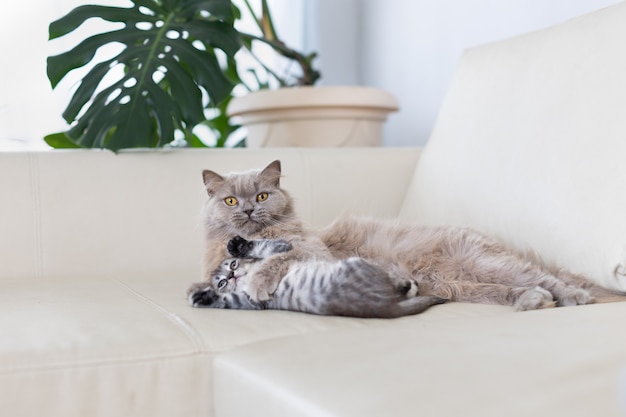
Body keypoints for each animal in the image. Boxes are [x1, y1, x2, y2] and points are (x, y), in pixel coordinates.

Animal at [185, 234, 444, 318]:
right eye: (222, 282)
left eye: (232, 264)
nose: (231, 275)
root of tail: (386, 307)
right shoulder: (253, 302)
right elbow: (229, 300)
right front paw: (202, 297)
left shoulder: (281, 247)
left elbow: (262, 246)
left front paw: (237, 244)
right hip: (356, 263)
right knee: (401, 286)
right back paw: (408, 284)